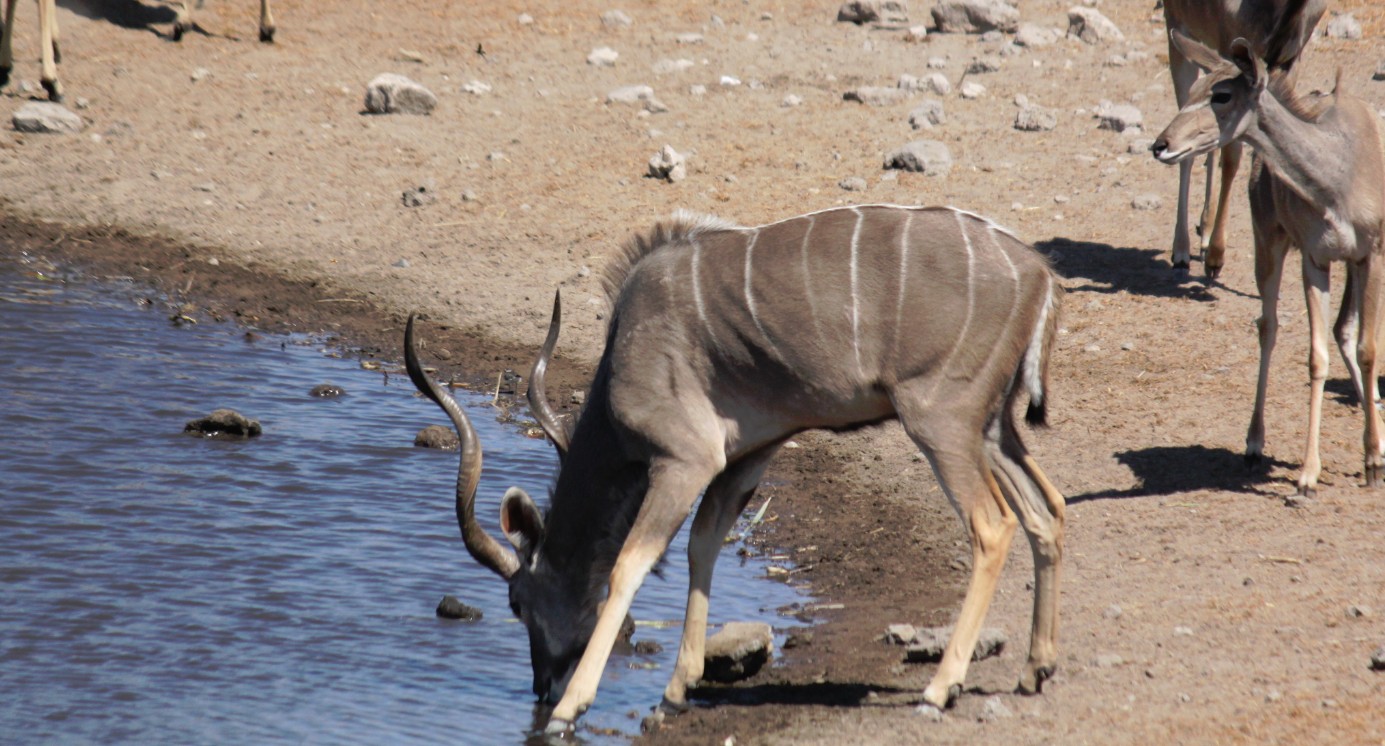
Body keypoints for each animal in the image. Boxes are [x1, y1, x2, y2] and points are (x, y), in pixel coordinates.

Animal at [404, 206, 1063, 736]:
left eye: (517, 602)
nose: (542, 688)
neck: (629, 342)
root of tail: (1038, 274)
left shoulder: (685, 459)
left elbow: (630, 563)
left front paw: (574, 708)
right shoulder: (748, 455)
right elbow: (703, 544)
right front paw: (675, 690)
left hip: (941, 423)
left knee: (993, 526)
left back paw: (939, 687)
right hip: (994, 430)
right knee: (1047, 512)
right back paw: (1035, 668)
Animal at [1157, 0, 1329, 276]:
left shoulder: (1290, 59)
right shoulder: (1230, 42)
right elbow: (1231, 159)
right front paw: (1215, 257)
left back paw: (1204, 231)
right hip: (1179, 29)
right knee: (1189, 151)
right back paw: (1182, 250)